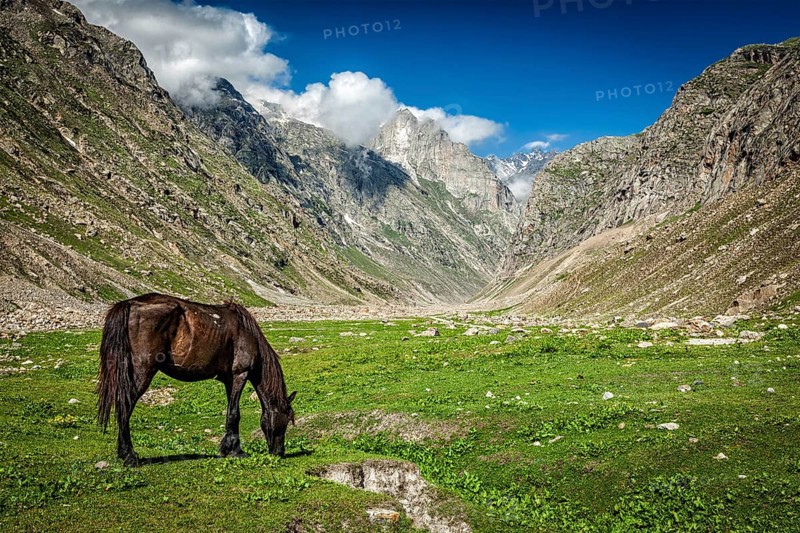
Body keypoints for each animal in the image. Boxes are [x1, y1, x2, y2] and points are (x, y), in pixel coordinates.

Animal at [96, 293, 296, 466]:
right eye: (287, 419)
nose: (279, 452)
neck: (246, 333)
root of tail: (129, 304)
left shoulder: (229, 380)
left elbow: (230, 412)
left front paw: (228, 449)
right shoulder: (240, 374)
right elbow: (234, 413)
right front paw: (236, 451)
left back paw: (124, 454)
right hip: (143, 372)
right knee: (125, 406)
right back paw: (130, 456)